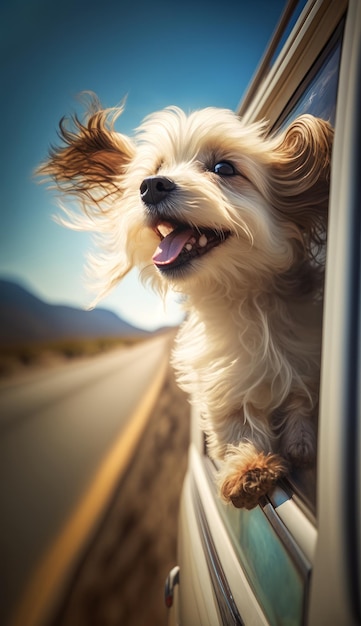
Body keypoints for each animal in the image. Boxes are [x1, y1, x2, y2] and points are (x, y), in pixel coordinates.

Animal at [37, 96, 332, 508]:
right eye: (155, 170)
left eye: (224, 168)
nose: (151, 187)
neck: (242, 296)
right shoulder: (220, 375)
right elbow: (233, 417)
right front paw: (248, 465)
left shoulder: (303, 352)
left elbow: (301, 397)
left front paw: (300, 440)